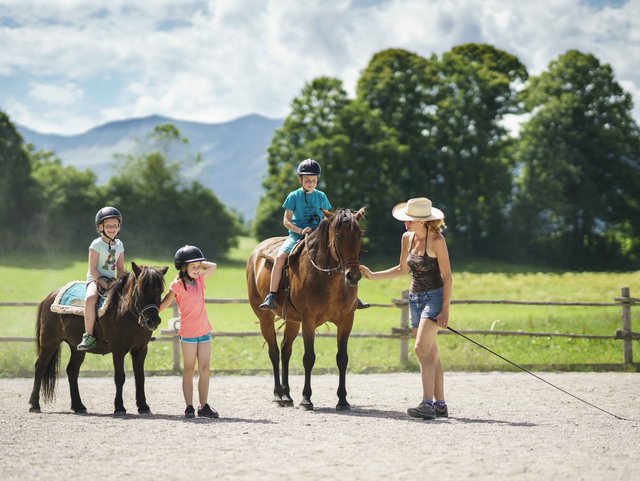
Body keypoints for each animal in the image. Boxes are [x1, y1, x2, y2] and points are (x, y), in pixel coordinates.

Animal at [28, 260, 168, 414]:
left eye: (160, 291)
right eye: (142, 290)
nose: (153, 321)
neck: (124, 312)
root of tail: (48, 298)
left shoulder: (141, 350)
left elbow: (140, 377)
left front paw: (143, 406)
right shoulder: (118, 350)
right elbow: (120, 377)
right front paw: (119, 407)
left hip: (76, 348)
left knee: (72, 371)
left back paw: (78, 406)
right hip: (49, 343)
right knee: (40, 367)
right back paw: (34, 404)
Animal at [246, 206, 364, 408]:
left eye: (359, 236)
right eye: (339, 236)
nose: (353, 276)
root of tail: (256, 253)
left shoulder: (346, 320)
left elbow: (342, 358)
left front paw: (342, 399)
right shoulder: (308, 321)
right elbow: (309, 358)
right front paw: (306, 399)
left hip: (293, 321)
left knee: (285, 350)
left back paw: (287, 395)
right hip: (265, 319)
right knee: (274, 352)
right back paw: (278, 395)